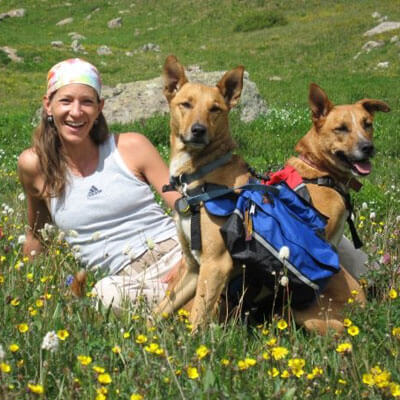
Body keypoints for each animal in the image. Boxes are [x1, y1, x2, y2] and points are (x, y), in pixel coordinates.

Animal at [153, 56, 250, 332]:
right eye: (186, 104)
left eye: (215, 109)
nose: (198, 130)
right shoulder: (194, 268)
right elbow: (160, 308)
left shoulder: (216, 264)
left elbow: (197, 320)